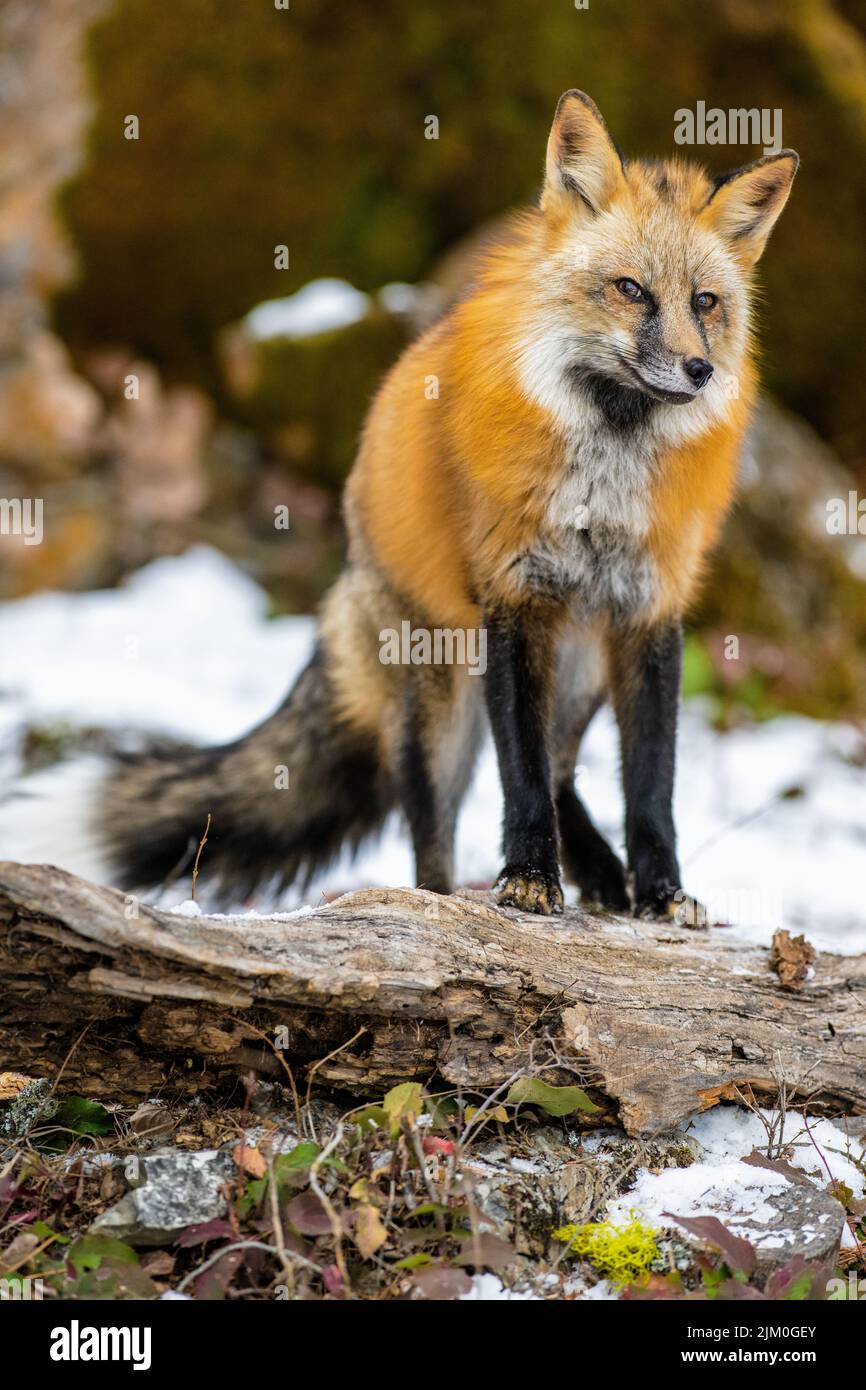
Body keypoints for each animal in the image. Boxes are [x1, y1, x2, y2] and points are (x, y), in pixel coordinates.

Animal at [92, 90, 797, 916]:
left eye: (706, 302)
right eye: (631, 290)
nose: (697, 369)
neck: (606, 476)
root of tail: (353, 552)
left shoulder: (649, 614)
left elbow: (652, 784)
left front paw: (659, 892)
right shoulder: (513, 600)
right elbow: (522, 774)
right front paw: (529, 878)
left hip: (580, 672)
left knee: (565, 770)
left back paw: (601, 876)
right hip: (443, 704)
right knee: (442, 835)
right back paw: (455, 899)